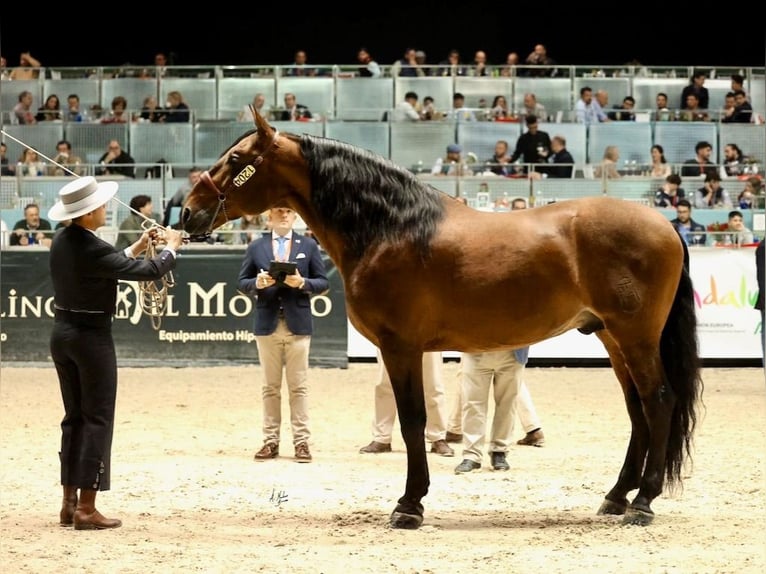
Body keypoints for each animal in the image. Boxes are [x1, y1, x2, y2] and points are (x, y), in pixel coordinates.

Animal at [180, 111, 704, 532]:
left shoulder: (401, 346)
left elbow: (414, 420)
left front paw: (409, 505)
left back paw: (643, 502)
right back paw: (616, 497)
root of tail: (665, 225)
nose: (188, 212)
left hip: (636, 337)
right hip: (613, 338)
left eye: (237, 158)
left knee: (659, 401)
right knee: (637, 408)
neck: (389, 229)